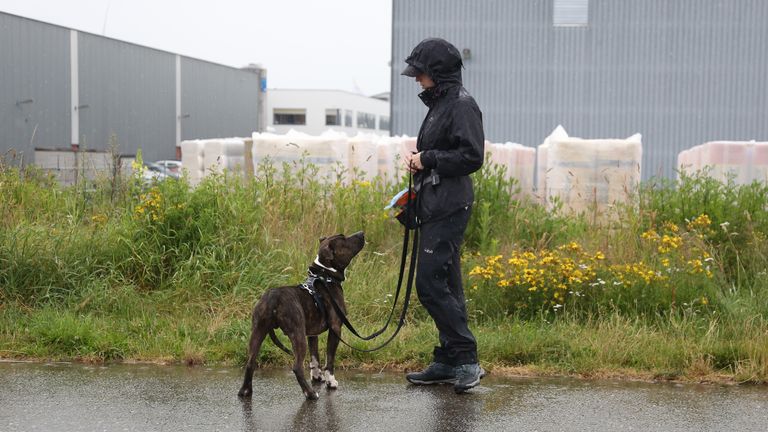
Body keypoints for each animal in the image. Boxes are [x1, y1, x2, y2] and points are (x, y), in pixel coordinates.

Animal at [237, 231, 366, 400]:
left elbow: (315, 358)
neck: (325, 275)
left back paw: (245, 391)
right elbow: (330, 359)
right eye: (344, 239)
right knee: (297, 367)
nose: (361, 233)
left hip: (258, 330)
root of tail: (273, 298)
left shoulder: (312, 333)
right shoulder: (336, 328)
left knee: (250, 362)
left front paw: (317, 377)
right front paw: (330, 382)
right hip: (297, 334)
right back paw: (310, 393)